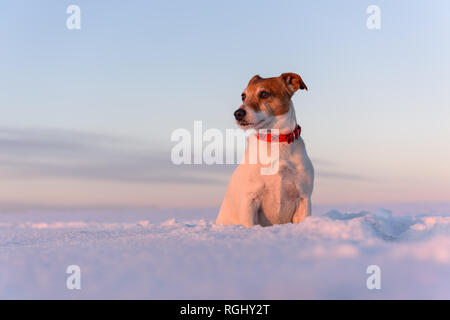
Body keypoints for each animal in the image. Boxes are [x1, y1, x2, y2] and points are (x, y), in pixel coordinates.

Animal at [216, 72, 314, 228]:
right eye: (243, 95)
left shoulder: (303, 199)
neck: (275, 141)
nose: (238, 113)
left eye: (264, 94)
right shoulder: (249, 201)